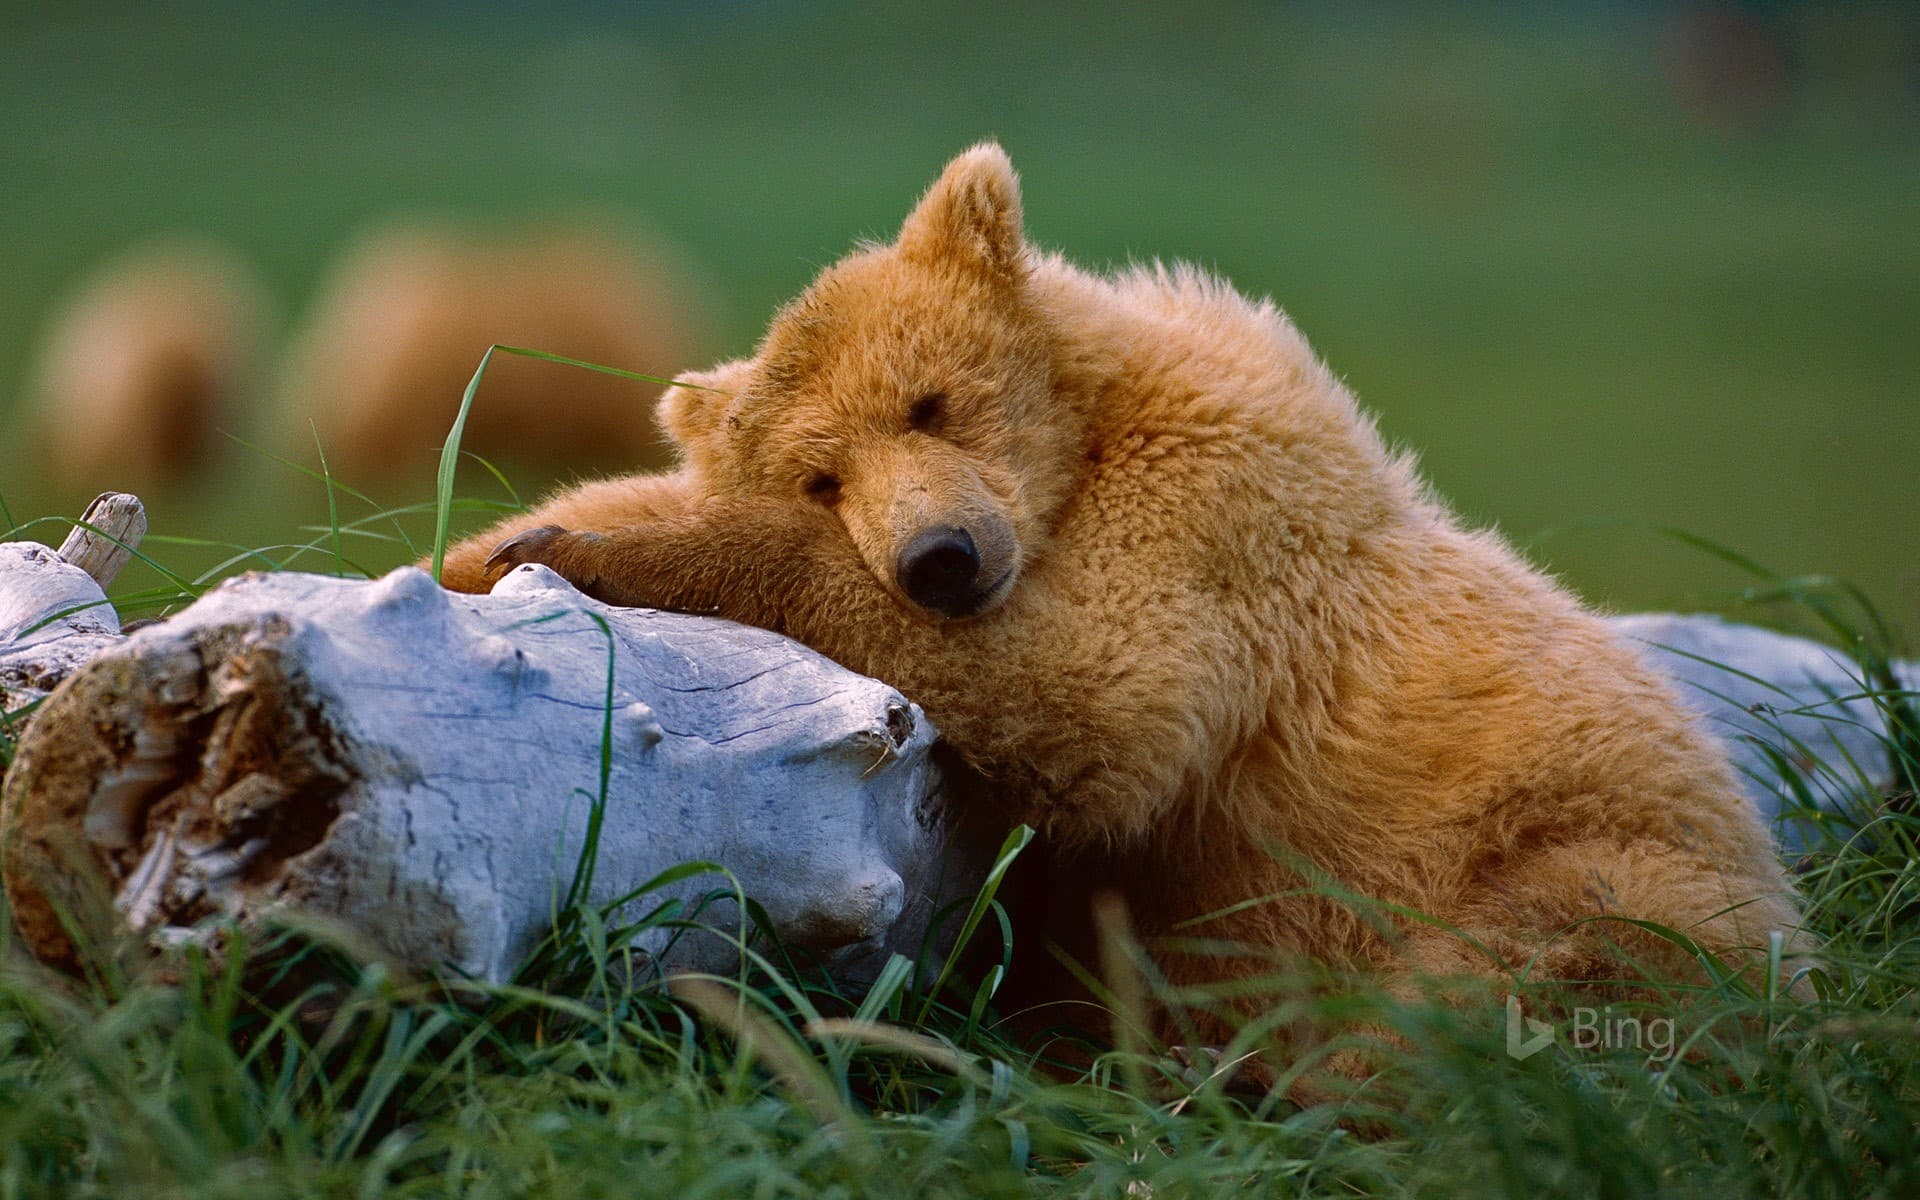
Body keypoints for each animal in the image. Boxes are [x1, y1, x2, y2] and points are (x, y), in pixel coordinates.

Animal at [437, 144, 1805, 1037]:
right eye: (824, 474)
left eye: (930, 401)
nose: (940, 559)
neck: (1087, 441)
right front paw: (498, 542)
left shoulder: (1218, 517)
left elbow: (1095, 691)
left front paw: (596, 548)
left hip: (1592, 854)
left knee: (1534, 969)